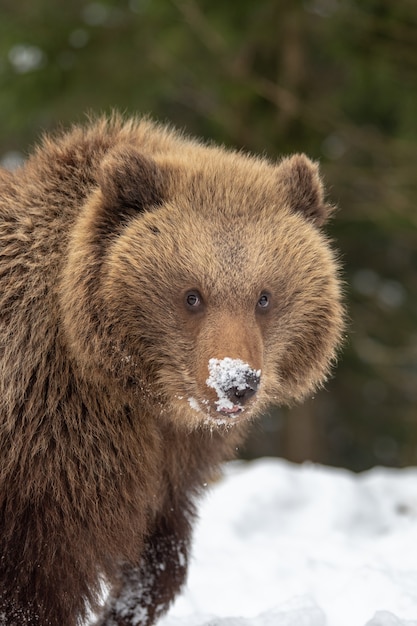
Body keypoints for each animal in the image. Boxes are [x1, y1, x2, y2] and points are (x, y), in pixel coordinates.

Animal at [0, 114, 342, 620]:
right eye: (192, 295)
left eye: (264, 297)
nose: (235, 382)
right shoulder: (50, 443)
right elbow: (33, 582)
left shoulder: (170, 458)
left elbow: (161, 548)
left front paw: (129, 607)